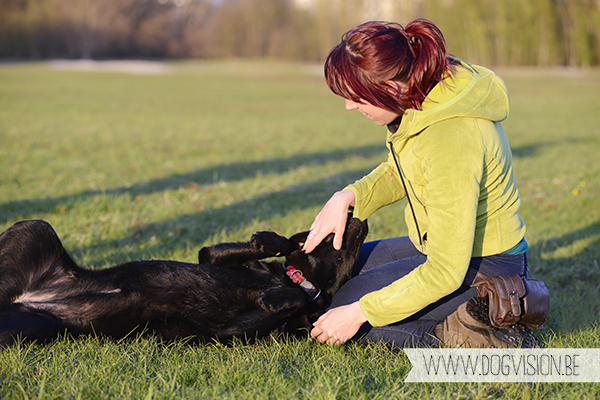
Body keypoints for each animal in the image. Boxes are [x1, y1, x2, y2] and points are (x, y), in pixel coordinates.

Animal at [0, 217, 368, 346]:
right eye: (340, 228)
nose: (360, 216)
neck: (295, 280)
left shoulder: (229, 333)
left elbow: (302, 299)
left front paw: (278, 298)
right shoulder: (210, 257)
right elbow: (285, 247)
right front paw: (270, 239)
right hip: (36, 228)